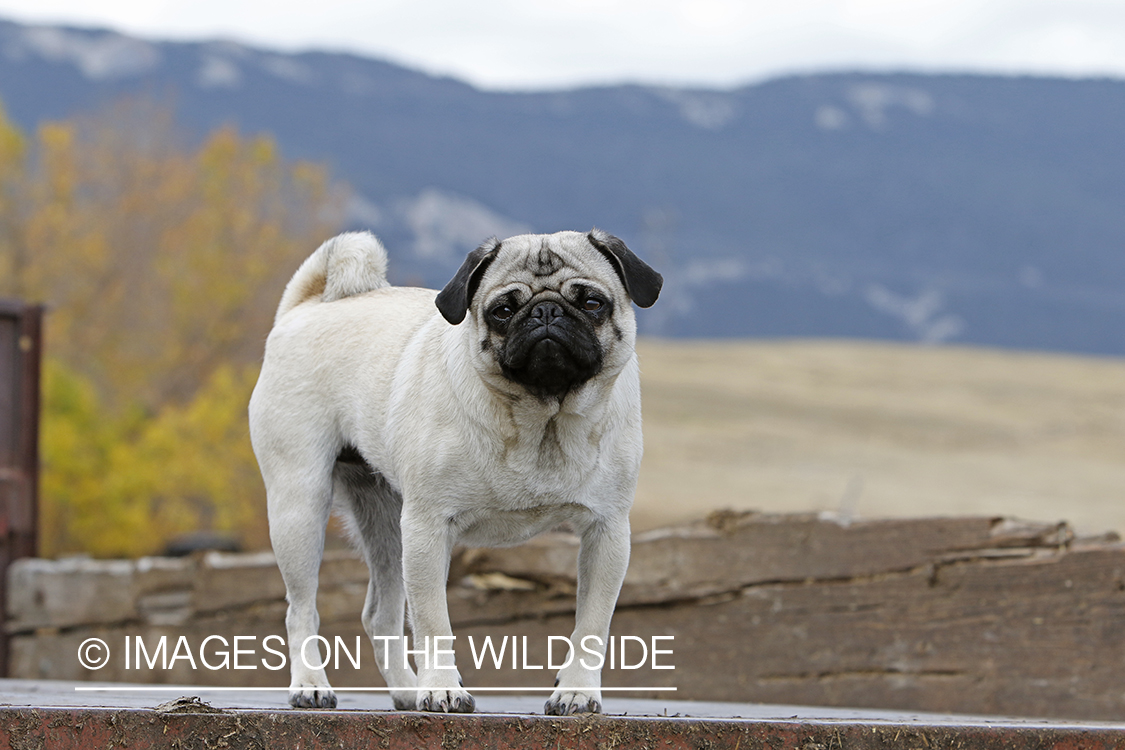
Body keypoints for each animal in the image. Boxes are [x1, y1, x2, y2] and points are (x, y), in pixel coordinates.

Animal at [246, 227, 657, 715]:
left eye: (592, 302)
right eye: (502, 311)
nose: (546, 311)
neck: (542, 422)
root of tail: (307, 306)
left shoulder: (606, 531)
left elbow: (592, 625)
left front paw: (576, 691)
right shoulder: (428, 527)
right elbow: (433, 622)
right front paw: (442, 688)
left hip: (386, 519)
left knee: (380, 615)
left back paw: (406, 690)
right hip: (301, 505)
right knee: (301, 608)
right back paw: (311, 684)